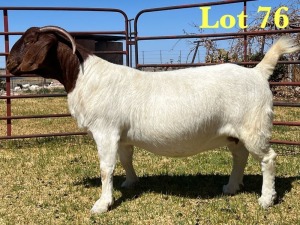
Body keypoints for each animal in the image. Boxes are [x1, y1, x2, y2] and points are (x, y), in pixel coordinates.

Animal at [7, 25, 300, 213]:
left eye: (30, 40)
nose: (8, 64)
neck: (84, 76)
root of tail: (258, 72)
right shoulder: (121, 135)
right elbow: (126, 159)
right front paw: (130, 183)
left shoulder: (105, 130)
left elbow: (106, 168)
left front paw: (102, 204)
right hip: (235, 132)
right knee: (239, 156)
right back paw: (230, 187)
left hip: (254, 126)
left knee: (268, 159)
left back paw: (265, 200)